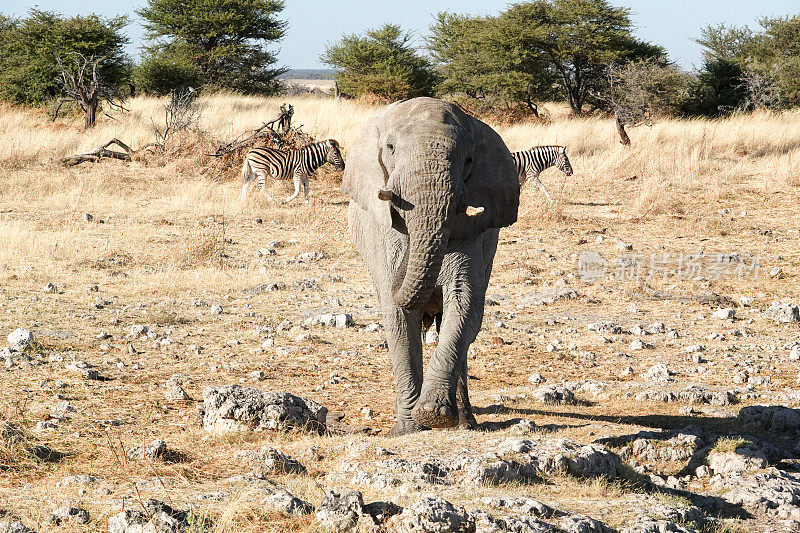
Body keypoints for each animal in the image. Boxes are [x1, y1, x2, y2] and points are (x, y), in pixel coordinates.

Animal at [342, 96, 520, 436]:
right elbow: (398, 316)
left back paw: (464, 423)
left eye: (468, 161)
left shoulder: (471, 234)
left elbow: (464, 302)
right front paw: (408, 428)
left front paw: (433, 414)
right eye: (390, 148)